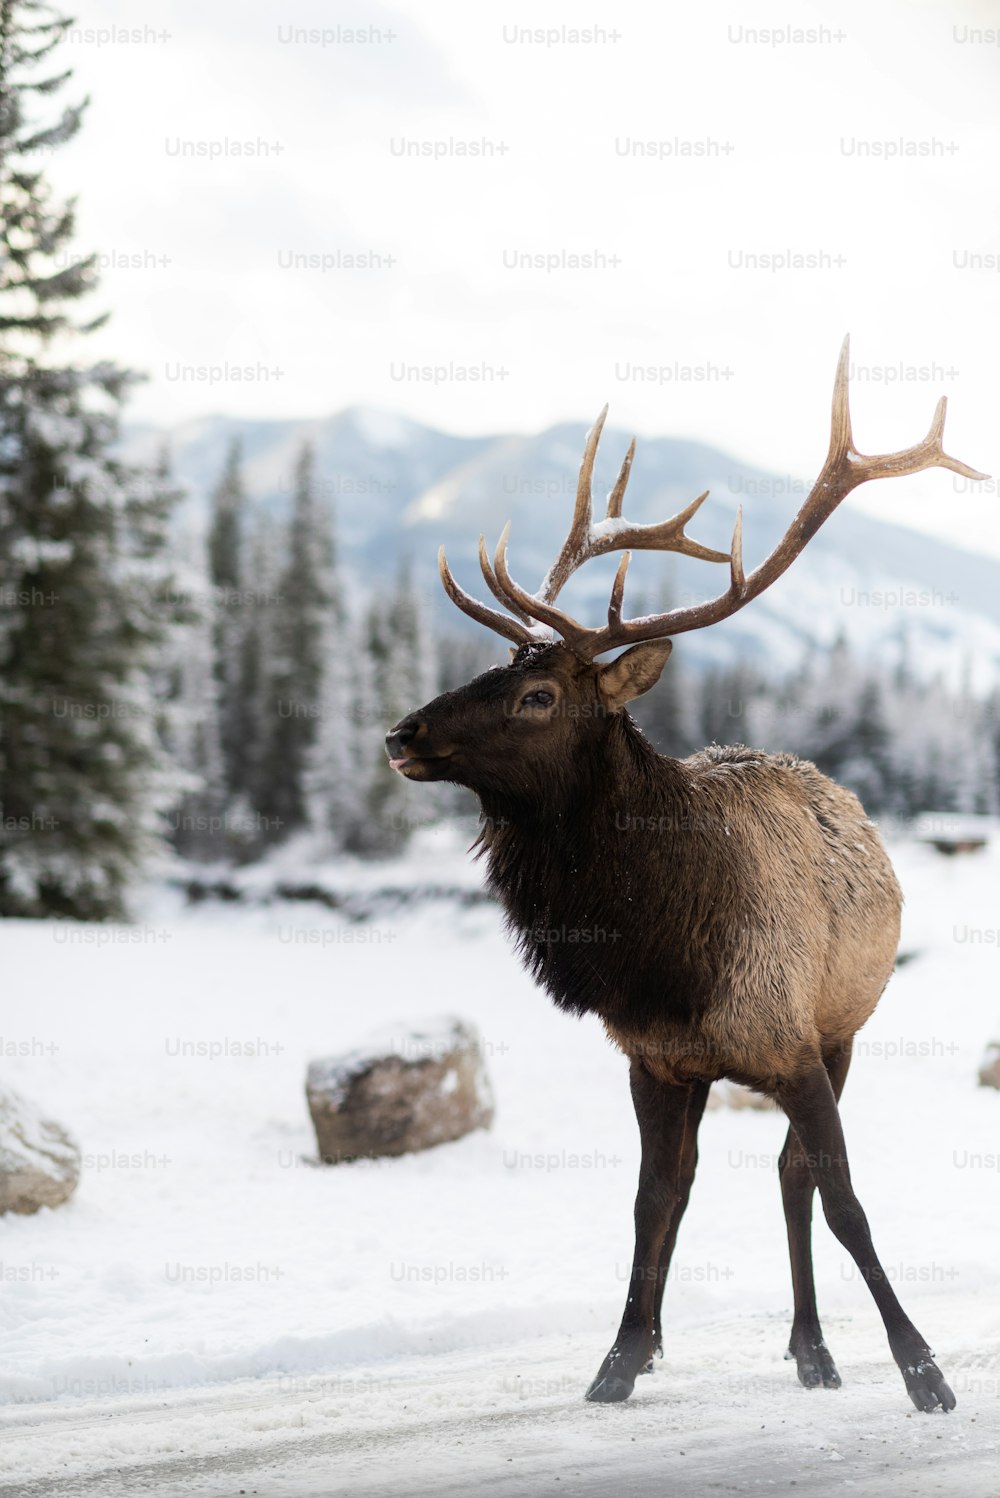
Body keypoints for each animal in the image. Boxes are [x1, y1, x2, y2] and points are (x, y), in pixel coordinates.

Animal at [383, 343, 982, 1414]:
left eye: (539, 695)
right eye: (495, 667)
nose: (403, 734)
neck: (663, 953)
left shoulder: (796, 1040)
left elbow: (845, 1200)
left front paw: (925, 1372)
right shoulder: (654, 1058)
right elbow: (652, 1198)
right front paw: (620, 1359)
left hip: (844, 1028)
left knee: (792, 1177)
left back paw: (817, 1348)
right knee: (728, 1179)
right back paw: (771, 1345)